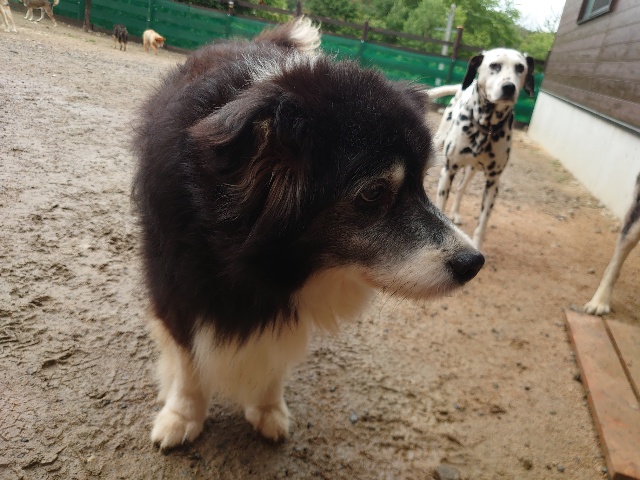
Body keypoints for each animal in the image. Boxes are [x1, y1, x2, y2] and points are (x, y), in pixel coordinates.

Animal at [132, 17, 484, 450]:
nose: (474, 262)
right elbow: (188, 362)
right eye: (373, 193)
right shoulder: (176, 284)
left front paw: (267, 408)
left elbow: (275, 355)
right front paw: (182, 415)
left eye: (421, 183)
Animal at [428, 49, 535, 250]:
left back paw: (456, 213)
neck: (487, 126)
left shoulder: (493, 183)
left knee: (461, 188)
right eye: (494, 65)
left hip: (472, 169)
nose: (509, 87)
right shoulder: (448, 171)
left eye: (520, 68)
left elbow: (482, 222)